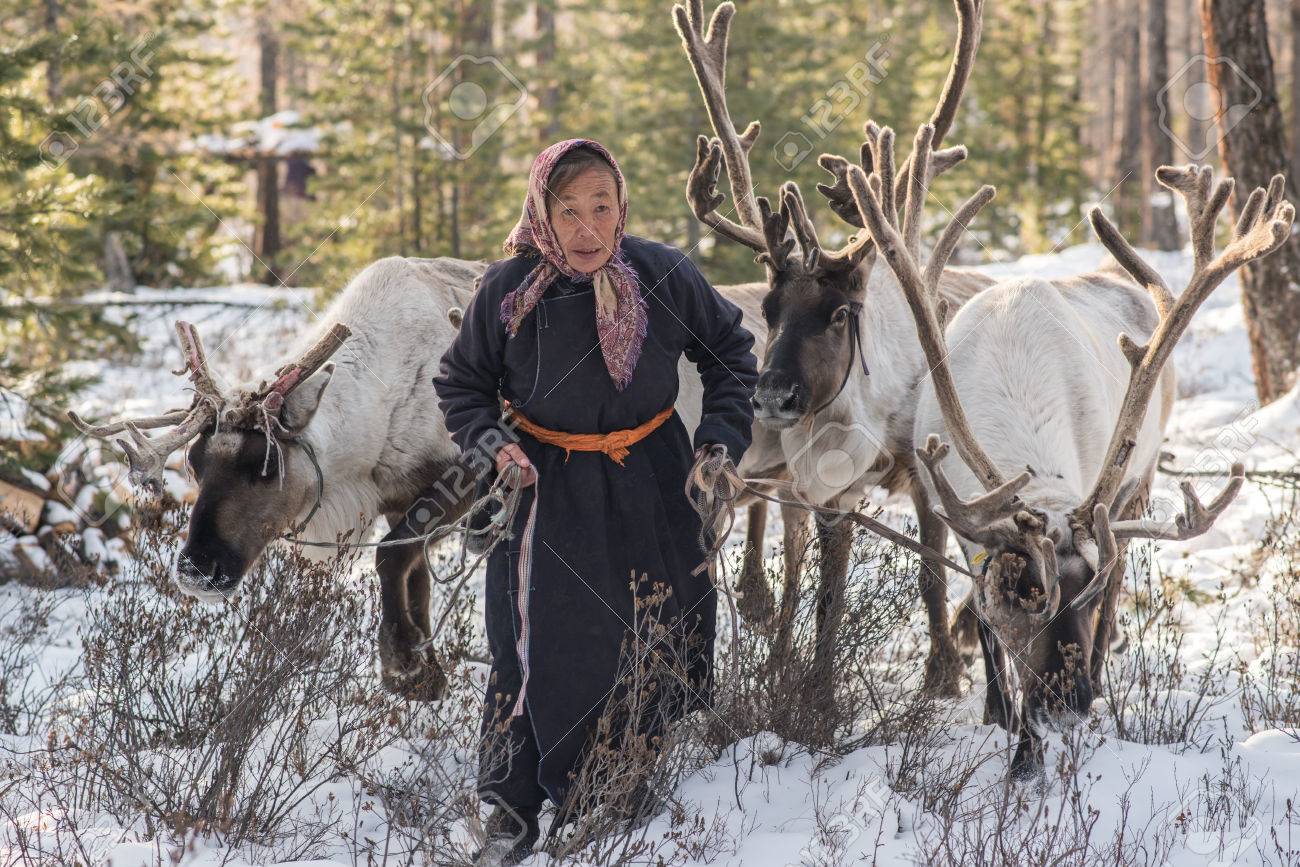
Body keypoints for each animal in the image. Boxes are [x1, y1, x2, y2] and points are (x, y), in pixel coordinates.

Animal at [673, 0, 993, 697]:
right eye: (767, 312)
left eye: (841, 314)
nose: (773, 395)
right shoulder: (827, 489)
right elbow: (828, 591)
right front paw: (815, 689)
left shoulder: (925, 468)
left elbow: (931, 570)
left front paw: (941, 674)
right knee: (793, 565)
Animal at [841, 121, 1292, 775]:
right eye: (1027, 595)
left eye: (1087, 593)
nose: (1068, 703)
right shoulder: (962, 521)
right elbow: (984, 621)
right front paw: (1002, 719)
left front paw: (1028, 750)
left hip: (1139, 478)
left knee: (1125, 559)